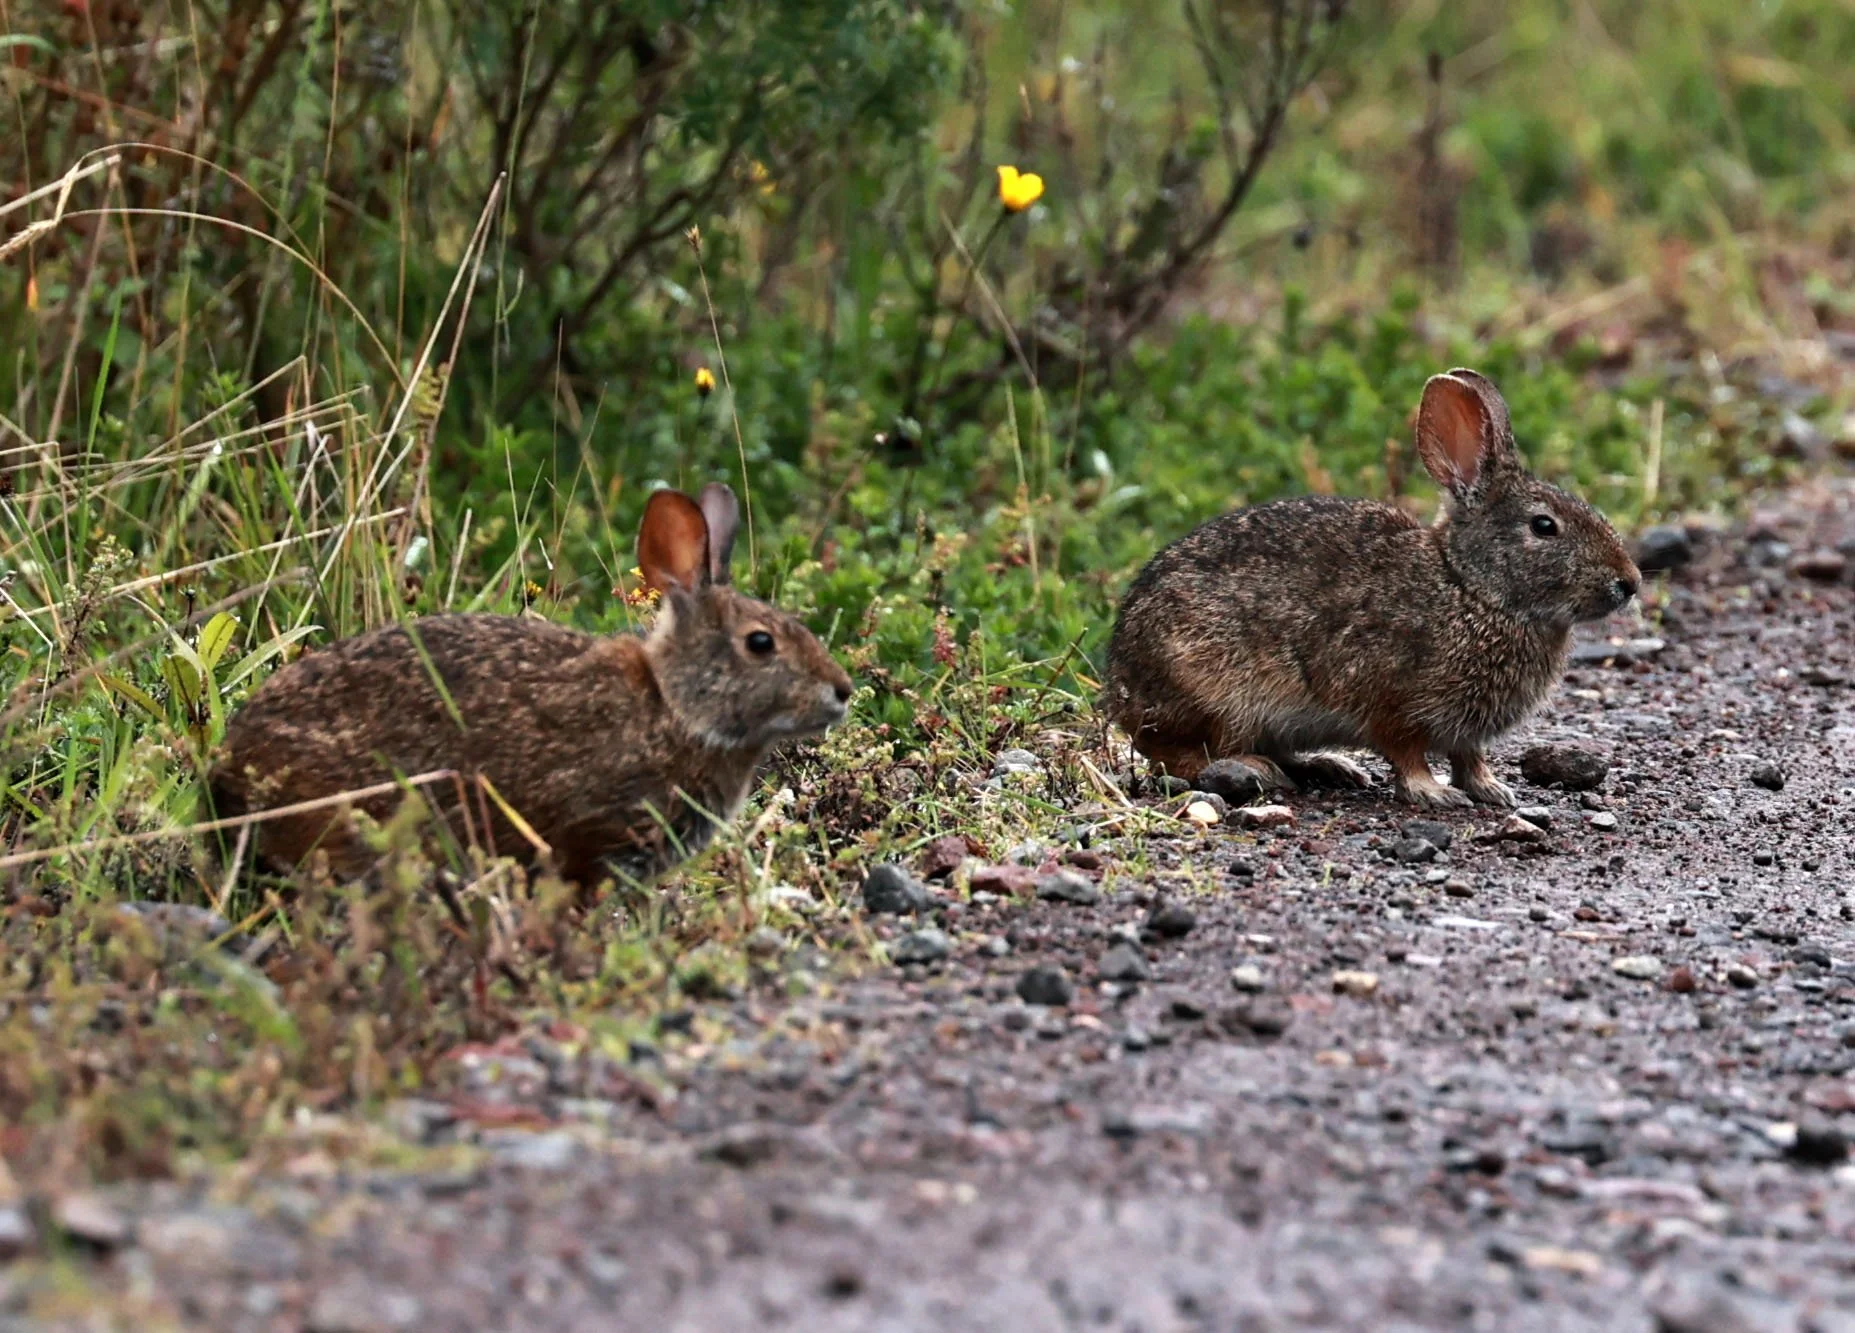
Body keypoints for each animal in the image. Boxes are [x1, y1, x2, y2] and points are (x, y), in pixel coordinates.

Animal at [1102, 368, 1641, 810]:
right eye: (1544, 526)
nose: (1629, 583)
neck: (1471, 588)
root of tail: (1121, 689)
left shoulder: (1465, 731)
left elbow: (1469, 758)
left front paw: (1492, 789)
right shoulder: (1390, 699)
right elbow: (1406, 752)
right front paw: (1433, 793)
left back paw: (1328, 766)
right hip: (1216, 694)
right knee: (1180, 756)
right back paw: (1260, 771)